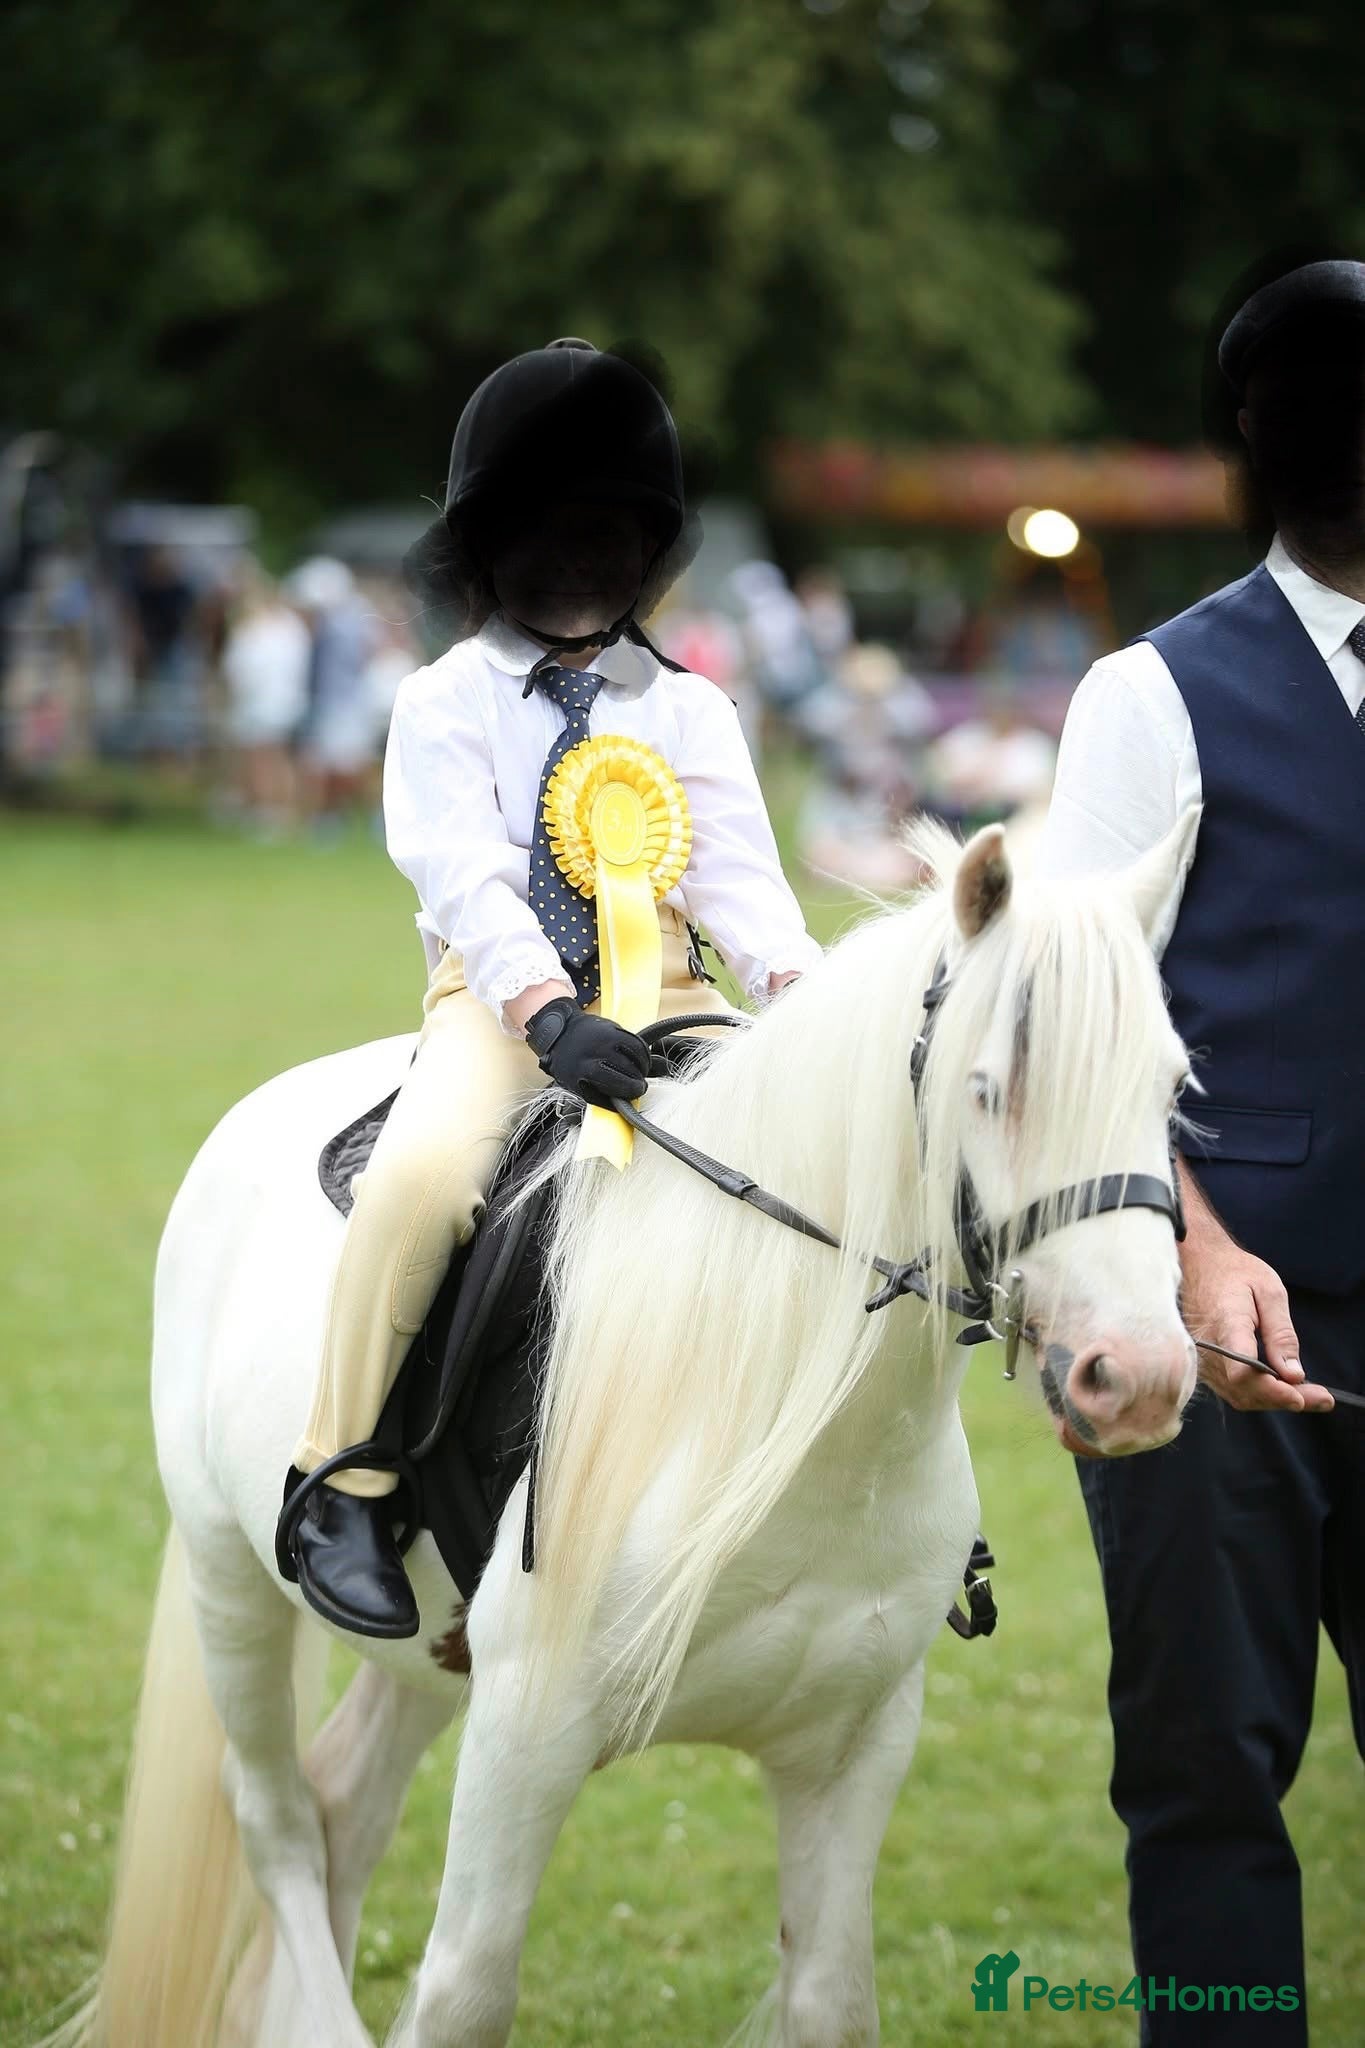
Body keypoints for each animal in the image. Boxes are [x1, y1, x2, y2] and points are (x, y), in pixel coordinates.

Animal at [55, 811, 1201, 2048]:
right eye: (989, 1087)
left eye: (1172, 1084)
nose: (1137, 1375)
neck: (795, 1433)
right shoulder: (525, 1733)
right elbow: (465, 1990)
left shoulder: (855, 1745)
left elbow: (830, 1996)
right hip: (228, 1578)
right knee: (272, 1817)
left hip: (427, 1653)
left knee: (339, 1806)